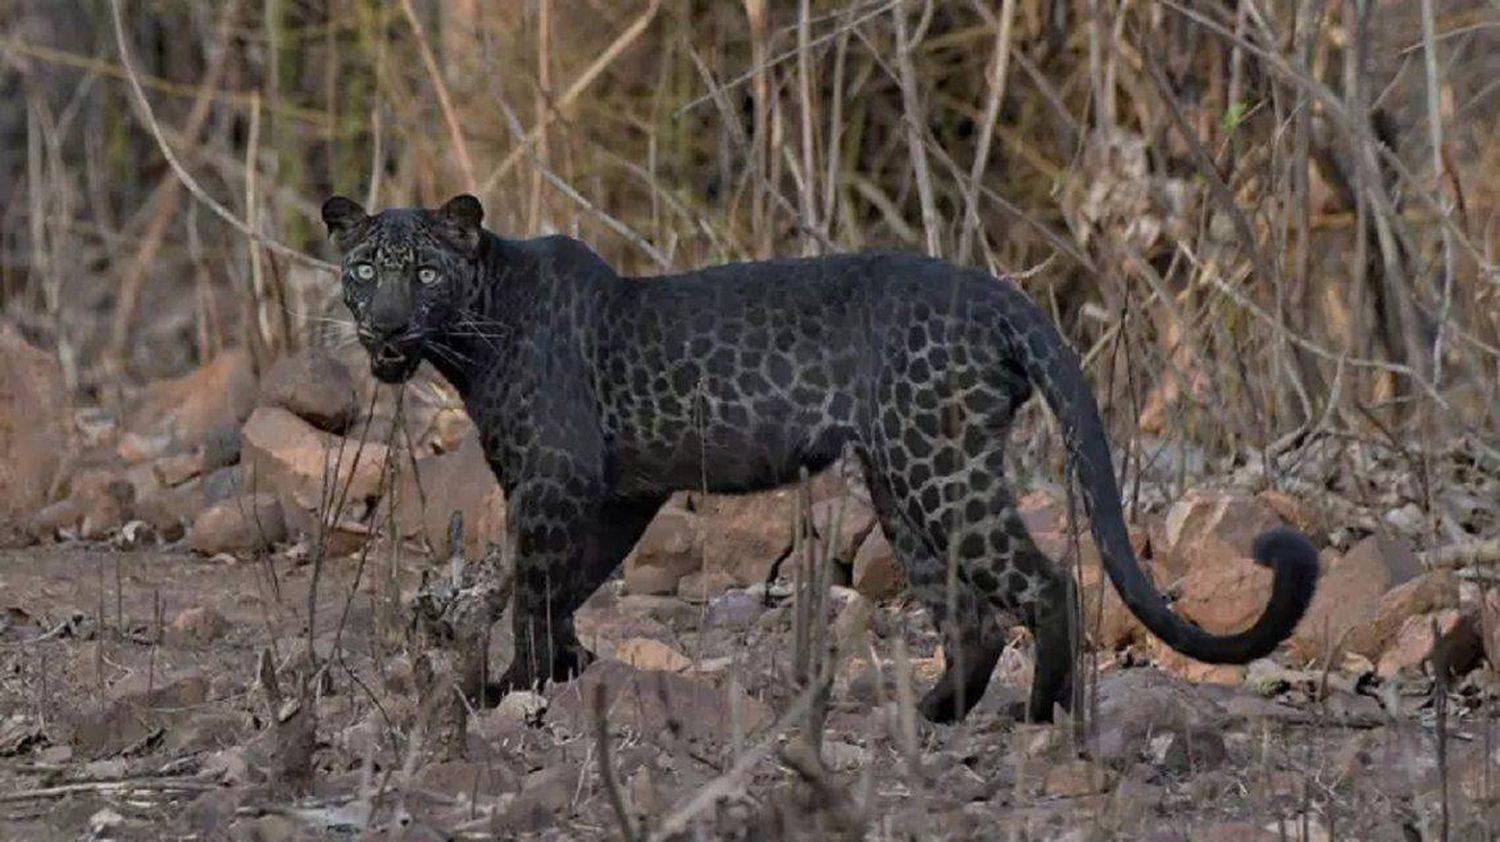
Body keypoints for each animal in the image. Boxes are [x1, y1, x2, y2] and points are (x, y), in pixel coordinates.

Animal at [316, 195, 1314, 723]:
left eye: (425, 272)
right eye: (363, 269)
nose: (386, 324)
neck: (471, 336)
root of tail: (1000, 296)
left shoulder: (554, 482)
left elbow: (531, 583)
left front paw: (514, 686)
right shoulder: (621, 491)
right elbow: (566, 584)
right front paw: (559, 671)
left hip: (937, 468)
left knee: (1046, 581)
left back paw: (1040, 716)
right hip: (903, 481)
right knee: (972, 618)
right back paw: (930, 715)